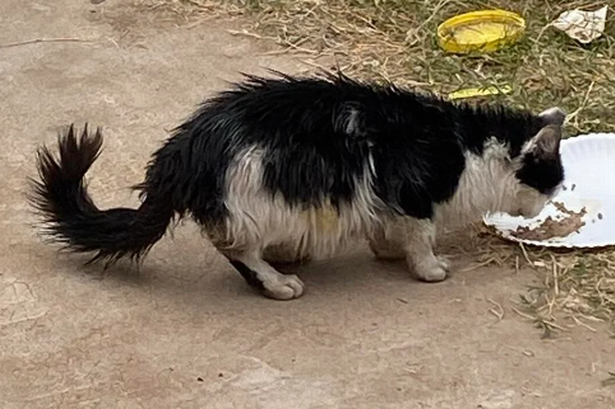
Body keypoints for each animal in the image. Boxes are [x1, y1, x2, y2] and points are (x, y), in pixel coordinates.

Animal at [31, 71, 564, 300]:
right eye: (554, 183)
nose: (546, 207)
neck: (469, 149)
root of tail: (182, 151)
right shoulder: (413, 193)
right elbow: (420, 236)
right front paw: (429, 268)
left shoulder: (383, 197)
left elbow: (385, 228)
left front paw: (388, 252)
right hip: (259, 196)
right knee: (237, 249)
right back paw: (279, 281)